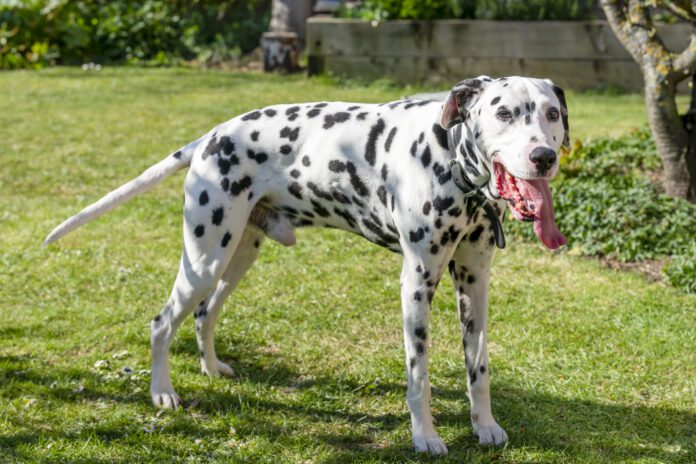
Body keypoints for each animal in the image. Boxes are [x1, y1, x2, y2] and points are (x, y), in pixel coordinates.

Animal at [47, 75, 572, 454]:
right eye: (503, 113)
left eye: (551, 113)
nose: (543, 156)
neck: (451, 163)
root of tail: (212, 135)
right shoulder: (418, 283)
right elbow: (419, 374)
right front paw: (425, 436)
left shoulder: (475, 283)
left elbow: (478, 368)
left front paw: (484, 426)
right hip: (205, 256)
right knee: (163, 321)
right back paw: (162, 392)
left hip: (238, 256)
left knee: (204, 313)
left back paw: (211, 368)